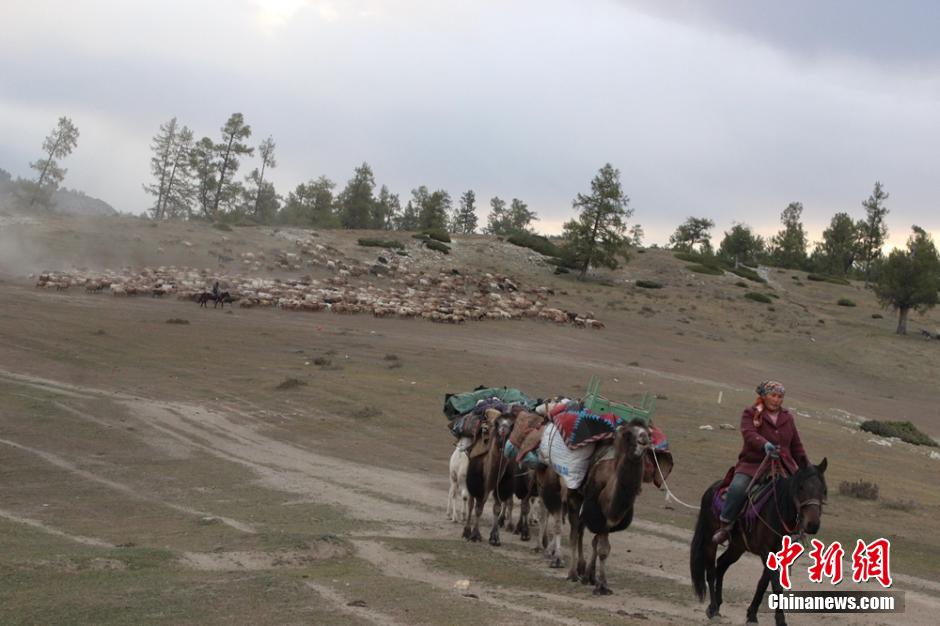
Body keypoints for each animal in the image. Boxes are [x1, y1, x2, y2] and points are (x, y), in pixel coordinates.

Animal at [462, 410, 516, 540]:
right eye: (497, 423)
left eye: (512, 425)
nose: (503, 431)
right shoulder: (479, 484)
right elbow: (478, 507)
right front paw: (475, 534)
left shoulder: (501, 486)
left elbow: (497, 507)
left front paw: (495, 536)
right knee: (471, 503)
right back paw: (466, 530)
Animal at [688, 454, 828, 624]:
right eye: (801, 487)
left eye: (823, 490)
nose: (812, 525)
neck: (779, 511)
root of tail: (712, 488)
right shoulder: (766, 551)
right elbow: (776, 585)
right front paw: (780, 620)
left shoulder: (777, 555)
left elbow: (763, 583)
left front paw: (752, 614)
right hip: (710, 539)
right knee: (711, 571)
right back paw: (713, 608)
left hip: (738, 546)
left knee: (721, 565)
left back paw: (717, 605)